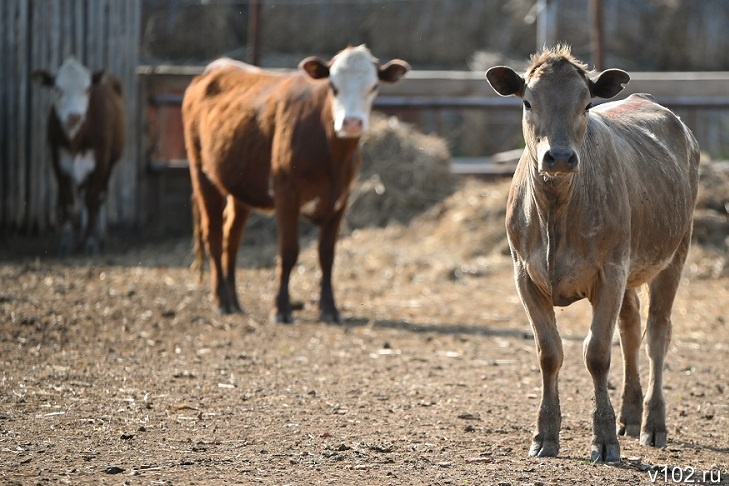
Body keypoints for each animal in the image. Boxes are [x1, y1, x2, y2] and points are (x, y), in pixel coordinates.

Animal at [33, 57, 125, 254]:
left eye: (87, 89)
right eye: (57, 89)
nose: (74, 116)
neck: (75, 140)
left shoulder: (101, 161)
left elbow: (92, 199)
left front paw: (91, 241)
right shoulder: (58, 160)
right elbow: (68, 201)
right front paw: (67, 240)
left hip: (110, 164)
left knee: (100, 196)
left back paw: (100, 234)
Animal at [182, 45, 410, 322]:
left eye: (374, 86)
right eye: (332, 85)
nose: (352, 122)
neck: (329, 151)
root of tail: (214, 68)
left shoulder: (340, 199)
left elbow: (327, 255)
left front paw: (329, 308)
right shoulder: (286, 194)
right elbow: (289, 251)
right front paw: (281, 308)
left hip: (240, 186)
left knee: (231, 236)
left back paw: (234, 300)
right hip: (202, 173)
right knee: (213, 233)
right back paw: (221, 301)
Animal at [484, 46, 700, 464]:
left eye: (586, 104)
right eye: (527, 101)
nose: (560, 157)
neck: (555, 211)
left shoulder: (610, 271)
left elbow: (597, 353)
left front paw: (604, 439)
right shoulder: (524, 274)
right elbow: (549, 352)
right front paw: (545, 435)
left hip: (674, 252)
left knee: (657, 334)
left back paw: (652, 423)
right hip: (631, 269)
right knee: (631, 328)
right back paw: (630, 415)